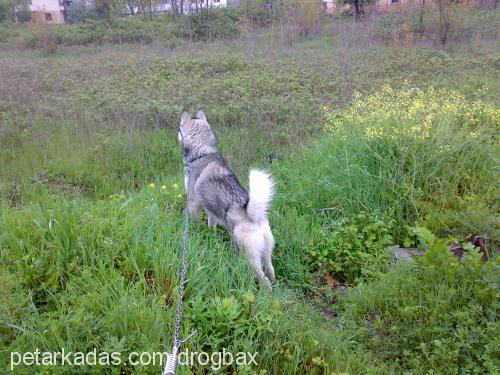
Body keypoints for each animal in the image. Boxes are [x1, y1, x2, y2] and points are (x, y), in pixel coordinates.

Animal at [177, 110, 278, 290]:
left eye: (179, 129)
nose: (176, 134)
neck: (203, 152)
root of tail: (254, 218)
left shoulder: (193, 203)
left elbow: (192, 222)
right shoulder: (211, 211)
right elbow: (211, 224)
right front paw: (210, 234)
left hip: (250, 257)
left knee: (264, 279)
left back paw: (267, 293)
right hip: (266, 251)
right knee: (271, 269)